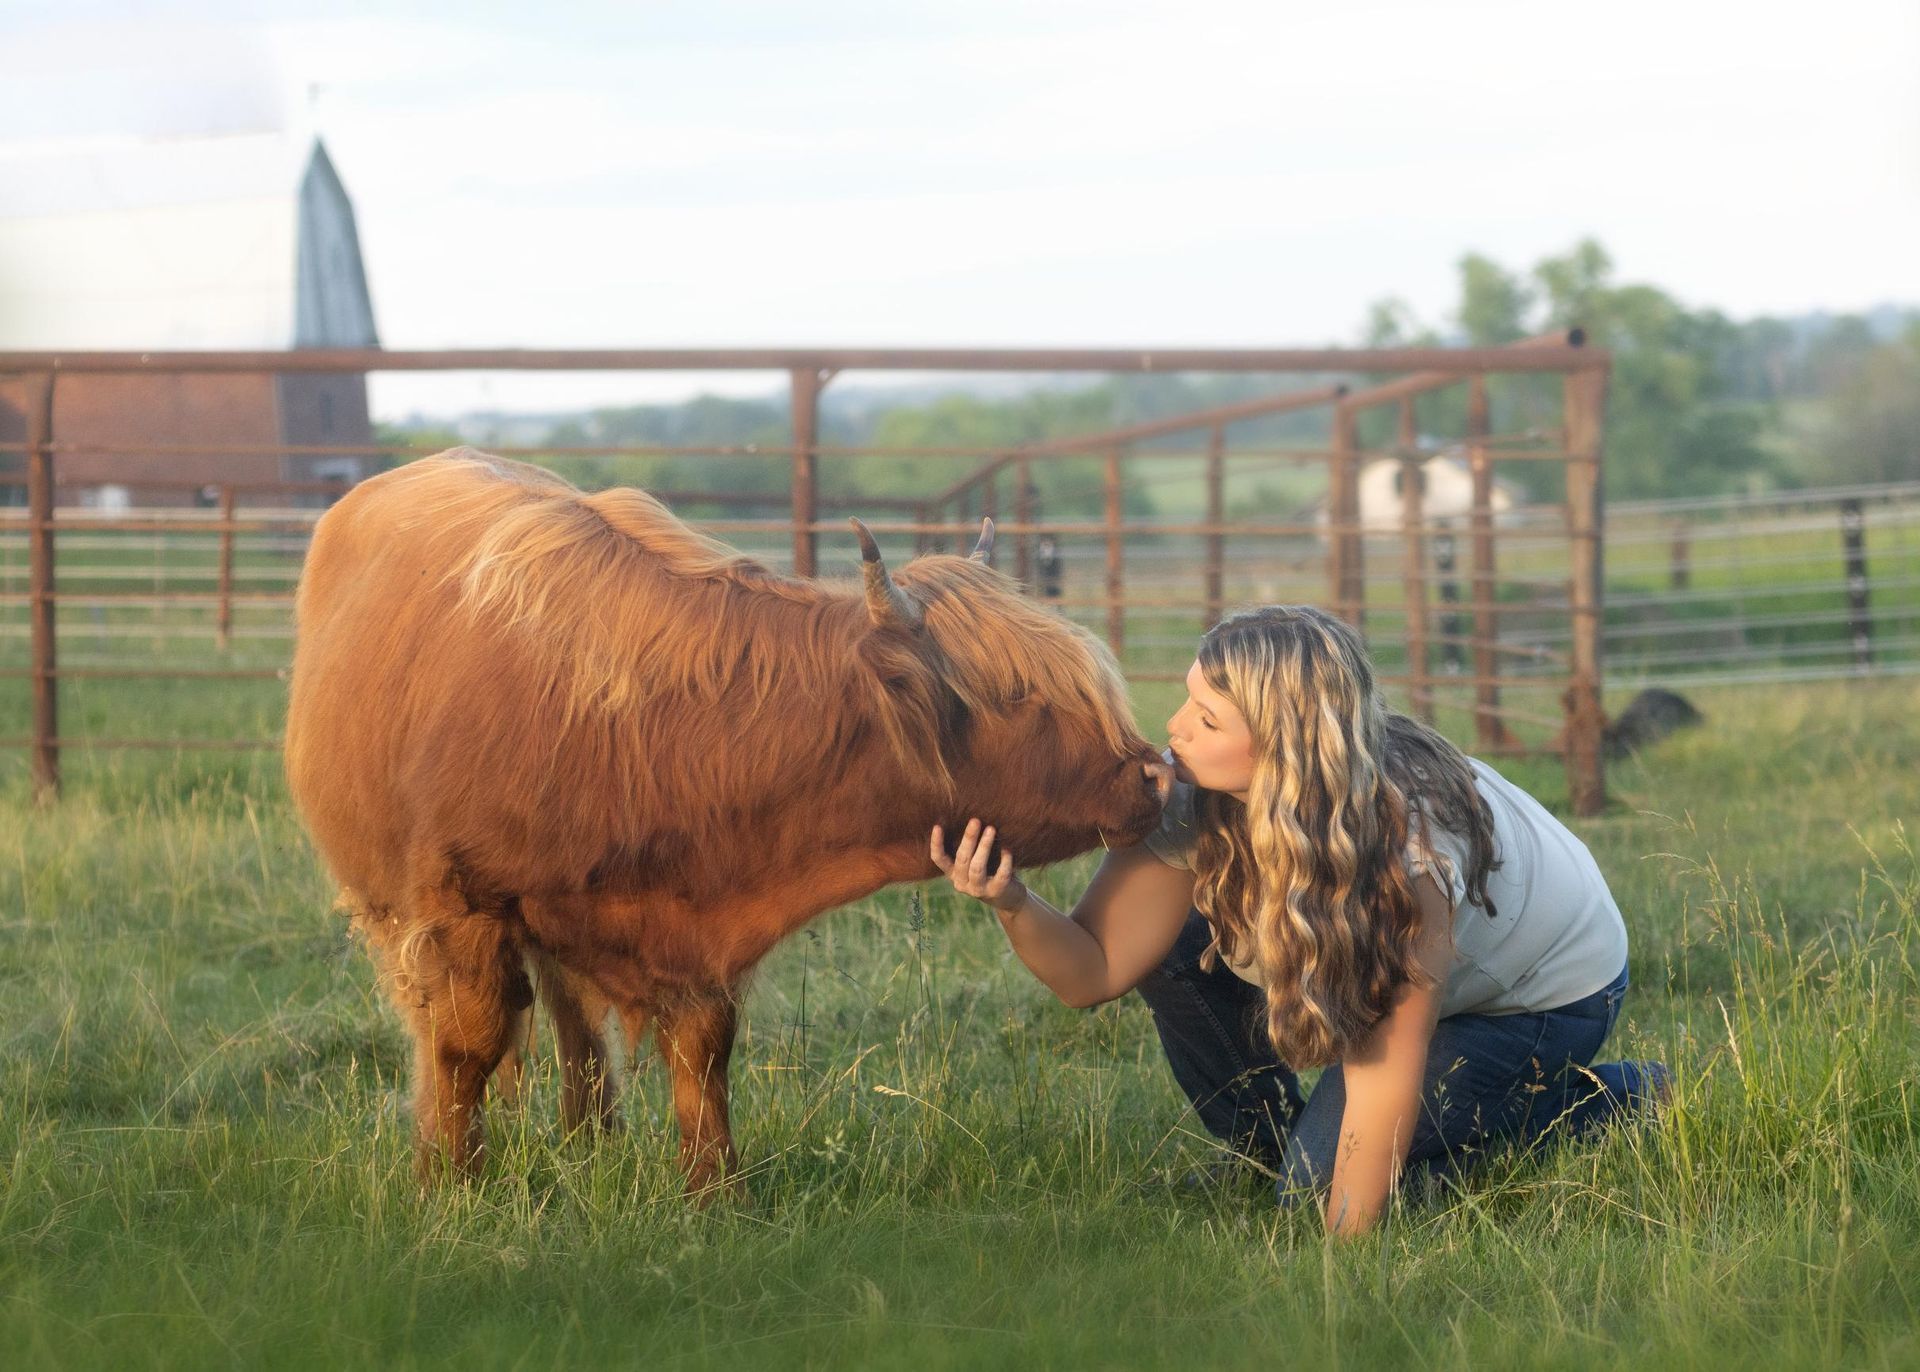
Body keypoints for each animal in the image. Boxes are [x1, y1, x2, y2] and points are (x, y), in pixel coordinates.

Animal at [285, 450, 1172, 1193]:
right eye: (1020, 695)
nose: (1152, 775)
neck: (644, 733)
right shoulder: (459, 905)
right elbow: (466, 1044)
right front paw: (449, 1183)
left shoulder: (699, 926)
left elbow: (702, 1051)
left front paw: (714, 1190)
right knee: (445, 1025)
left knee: (575, 1023)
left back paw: (591, 1139)